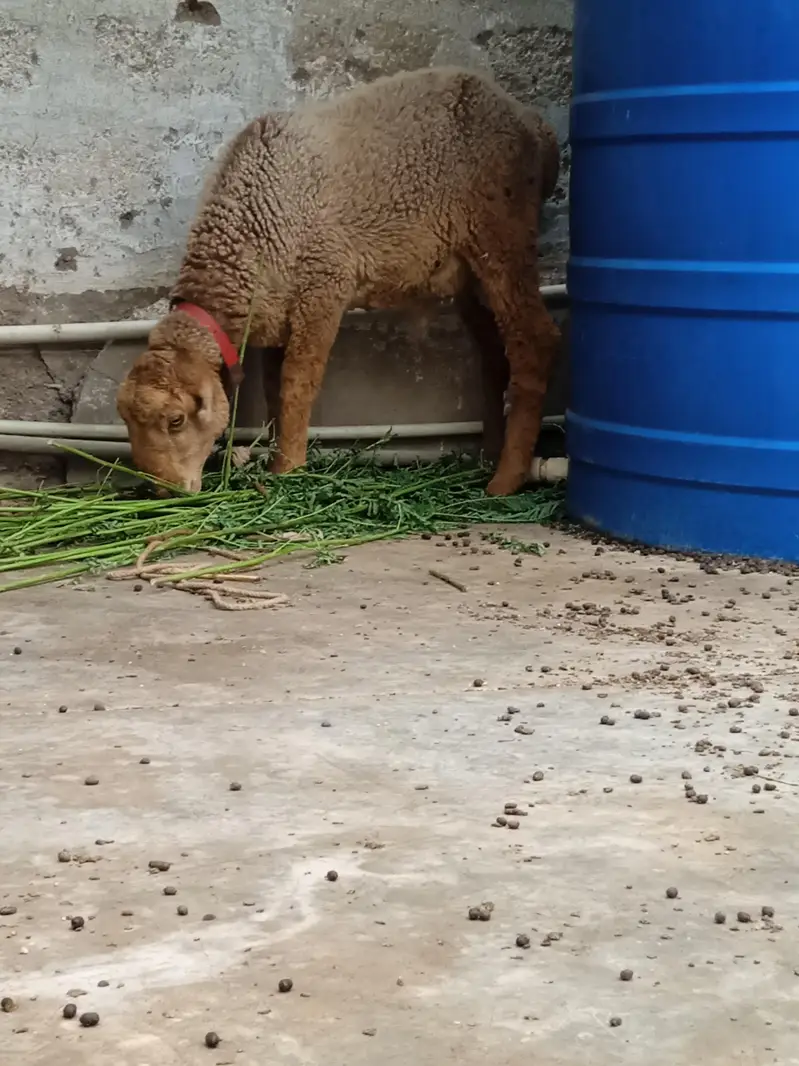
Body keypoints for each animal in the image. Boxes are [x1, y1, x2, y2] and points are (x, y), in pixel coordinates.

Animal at [117, 65, 562, 495]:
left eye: (175, 420)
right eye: (125, 421)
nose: (163, 491)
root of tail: (534, 123)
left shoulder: (323, 284)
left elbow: (298, 385)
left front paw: (290, 471)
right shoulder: (279, 311)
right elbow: (274, 390)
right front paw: (278, 458)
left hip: (502, 234)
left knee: (533, 341)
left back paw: (506, 480)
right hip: (468, 268)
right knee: (495, 354)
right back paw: (488, 456)